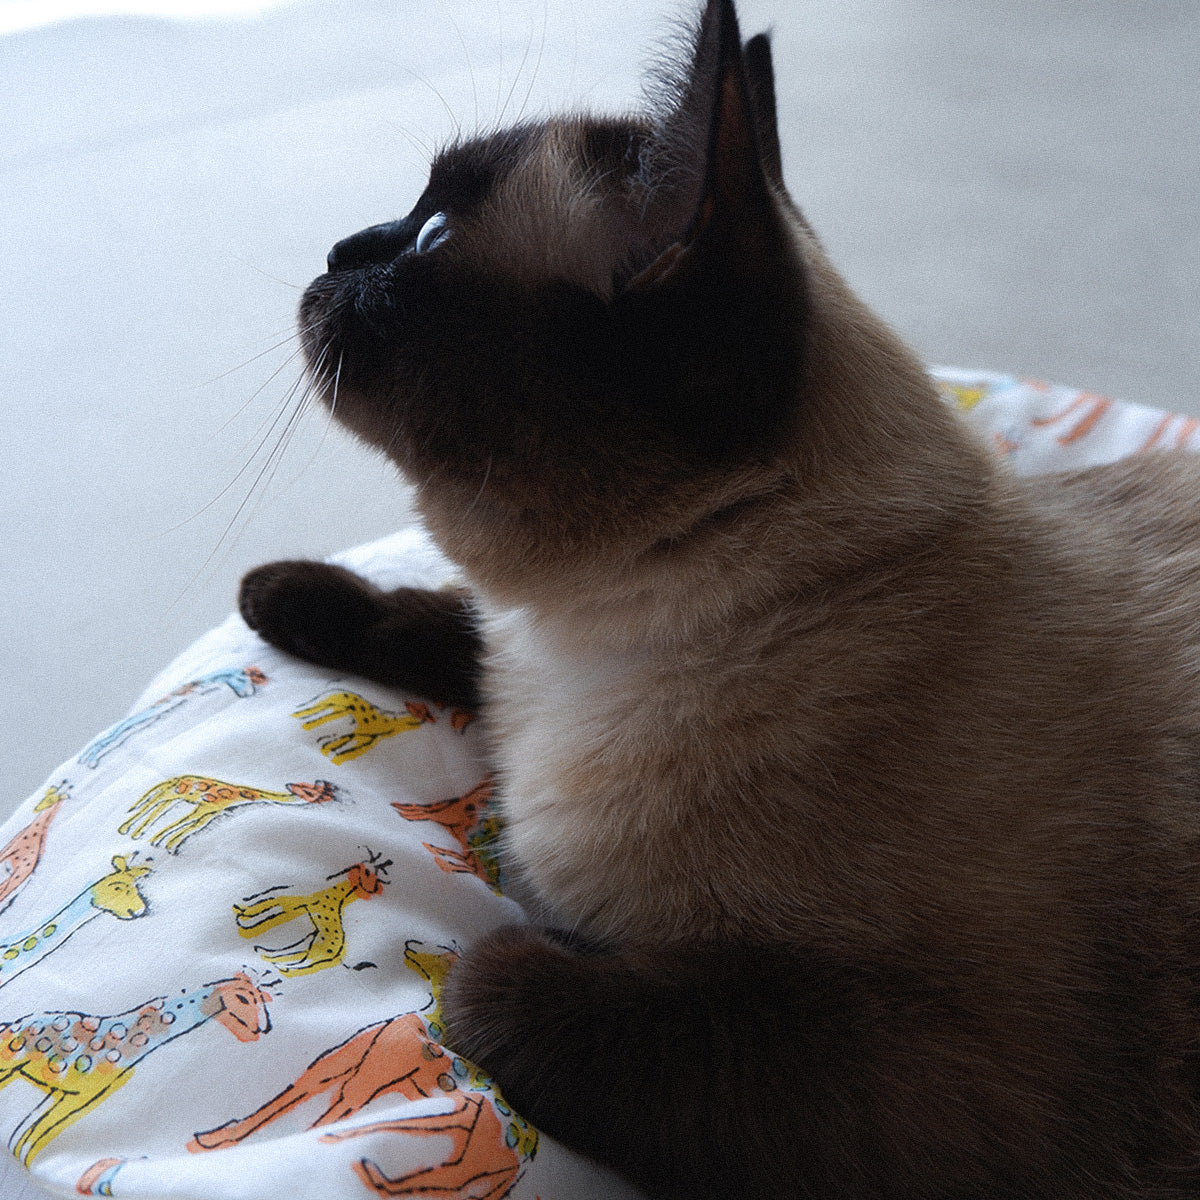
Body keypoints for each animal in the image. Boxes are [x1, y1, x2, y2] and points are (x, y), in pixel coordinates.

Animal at [0, 972, 272, 1165]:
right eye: (245, 999)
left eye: (261, 1001)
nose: (262, 1030)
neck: (132, 1044)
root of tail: (14, 1023)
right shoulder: (79, 1098)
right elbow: (31, 1139)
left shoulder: (71, 1097)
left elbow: (27, 1139)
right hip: (10, 1064)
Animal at [119, 776, 336, 855]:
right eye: (311, 793)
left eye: (328, 793)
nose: (335, 797)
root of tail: (178, 777)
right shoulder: (207, 807)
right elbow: (189, 823)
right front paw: (165, 843)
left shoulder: (212, 812)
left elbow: (193, 826)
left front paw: (167, 844)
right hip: (175, 793)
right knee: (156, 801)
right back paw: (127, 830)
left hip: (176, 796)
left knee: (157, 805)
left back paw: (134, 832)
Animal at [188, 941, 536, 1199]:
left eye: (441, 952)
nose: (408, 944)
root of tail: (523, 1152)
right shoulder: (335, 1069)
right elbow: (286, 1101)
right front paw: (215, 1139)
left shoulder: (362, 1083)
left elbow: (321, 1117)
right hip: (461, 1135)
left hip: (475, 1152)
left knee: (449, 1179)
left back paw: (366, 1171)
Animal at [292, 691, 436, 765]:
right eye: (422, 712)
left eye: (428, 713)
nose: (433, 720)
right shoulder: (359, 735)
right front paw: (332, 755)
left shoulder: (363, 738)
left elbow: (340, 748)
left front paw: (331, 755)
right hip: (329, 705)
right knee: (311, 711)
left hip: (334, 710)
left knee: (313, 715)